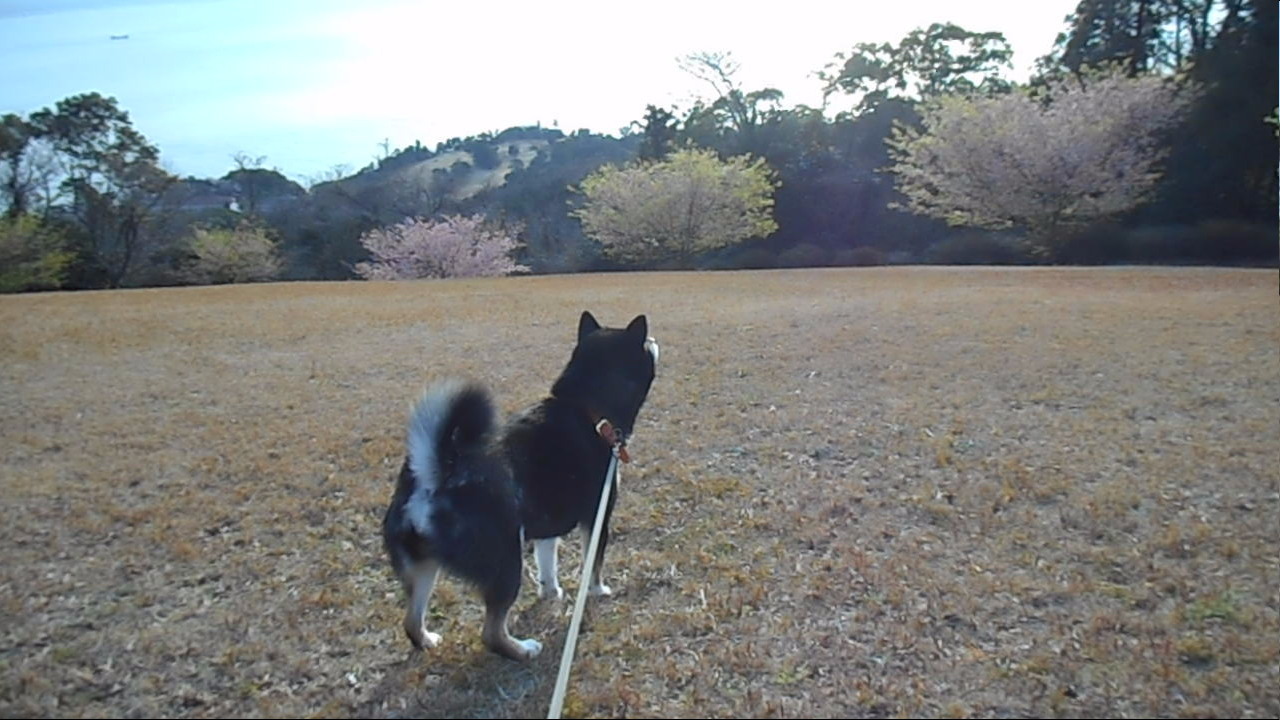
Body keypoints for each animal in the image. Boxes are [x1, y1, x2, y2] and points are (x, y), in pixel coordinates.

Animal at [378, 308, 660, 655]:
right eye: (645, 343)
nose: (653, 339)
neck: (588, 410)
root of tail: (436, 474)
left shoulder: (547, 527)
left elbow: (548, 565)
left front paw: (552, 593)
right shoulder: (596, 519)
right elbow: (592, 564)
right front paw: (598, 591)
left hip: (423, 568)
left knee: (411, 621)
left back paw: (428, 640)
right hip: (506, 562)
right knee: (491, 633)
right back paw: (523, 650)